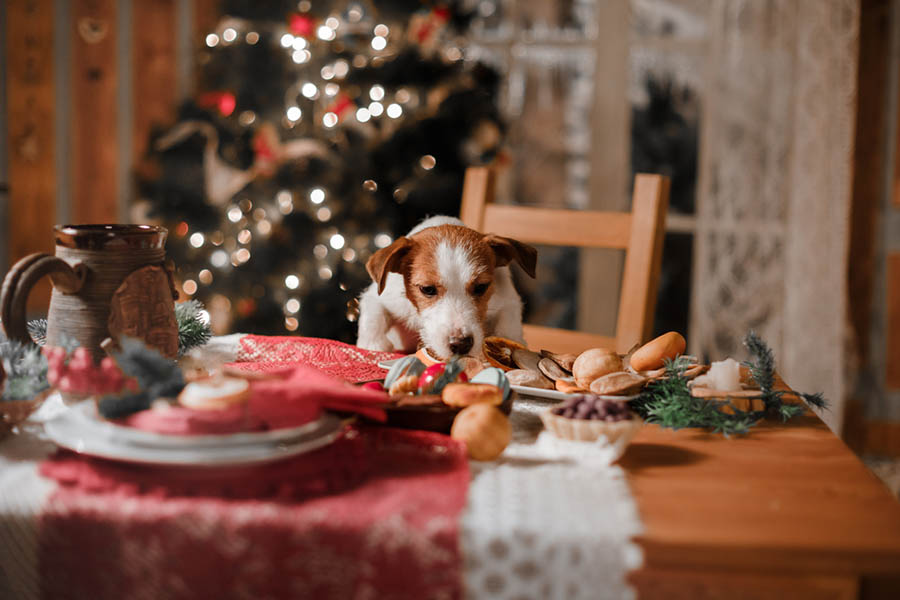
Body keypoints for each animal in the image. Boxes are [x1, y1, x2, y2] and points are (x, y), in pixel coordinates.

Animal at [356, 219, 536, 364]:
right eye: (427, 289)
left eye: (481, 287)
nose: (461, 344)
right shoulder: (381, 297)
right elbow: (373, 317)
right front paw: (373, 344)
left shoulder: (508, 301)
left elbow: (508, 328)